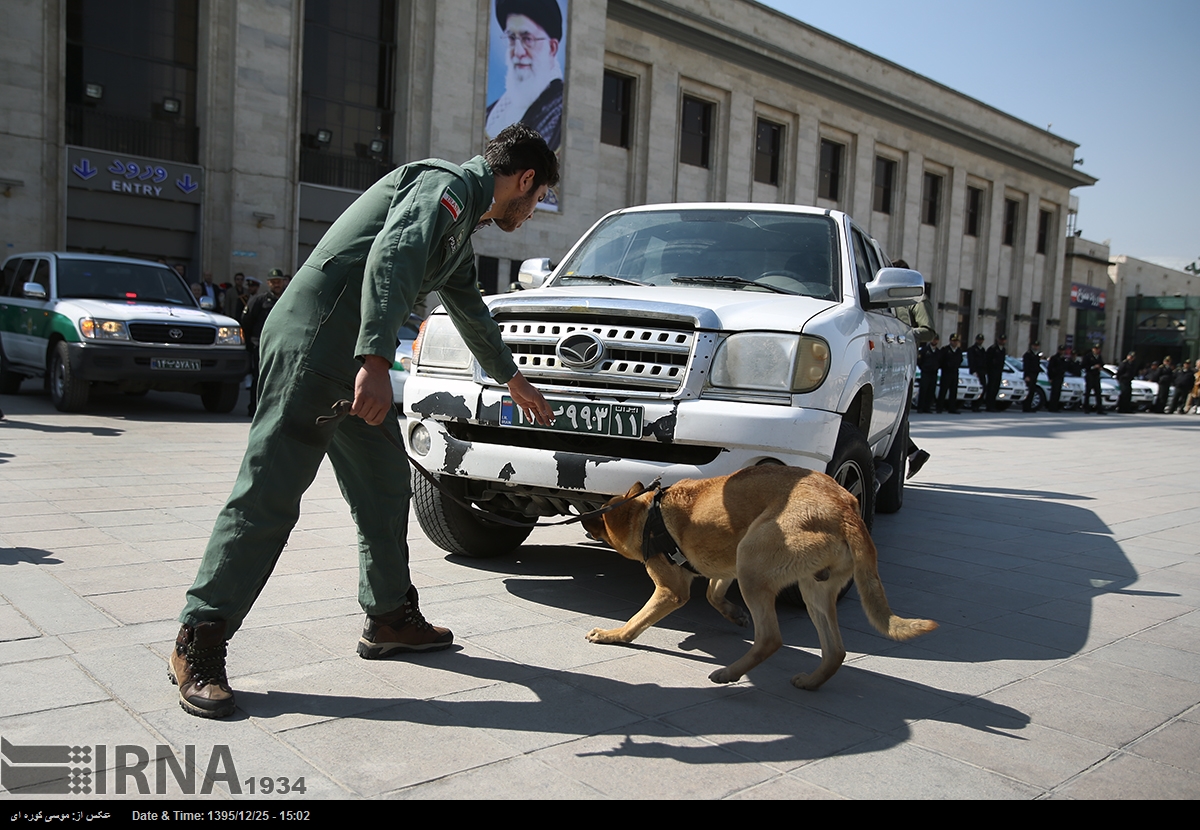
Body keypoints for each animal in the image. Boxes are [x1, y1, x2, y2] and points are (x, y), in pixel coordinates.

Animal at [580, 462, 936, 690]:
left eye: (601, 520)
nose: (585, 518)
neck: (646, 514)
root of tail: (846, 508)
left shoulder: (672, 589)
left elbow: (637, 621)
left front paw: (614, 635)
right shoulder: (727, 565)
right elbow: (713, 593)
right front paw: (734, 614)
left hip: (752, 560)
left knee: (770, 639)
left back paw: (728, 673)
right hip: (808, 586)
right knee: (835, 651)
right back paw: (811, 681)